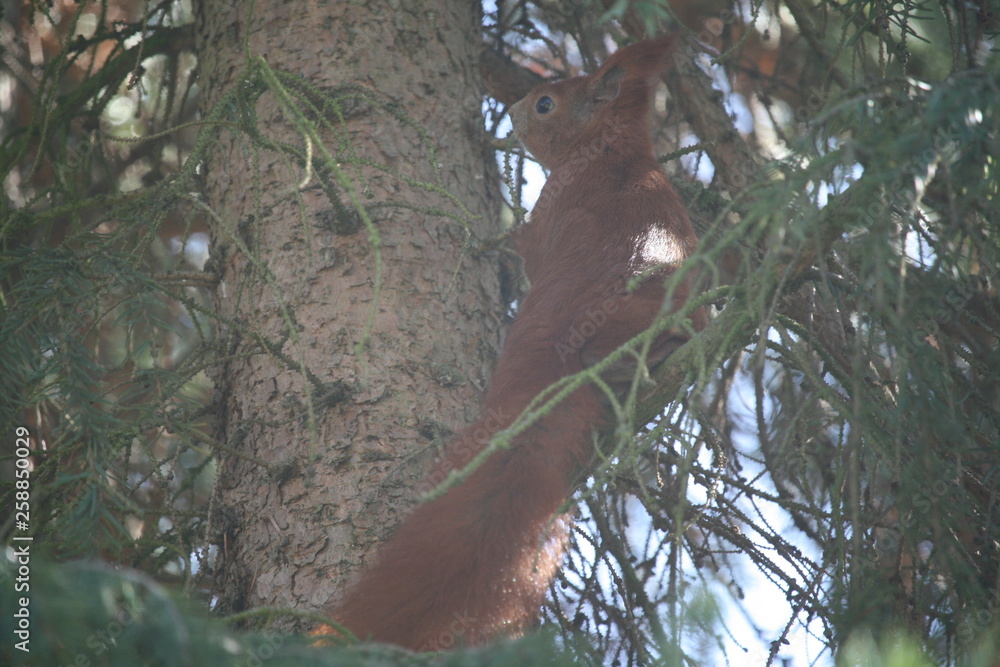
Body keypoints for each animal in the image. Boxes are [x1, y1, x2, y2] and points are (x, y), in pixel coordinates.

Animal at [326, 33, 707, 650]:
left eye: (547, 103)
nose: (511, 106)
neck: (613, 152)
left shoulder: (544, 216)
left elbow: (511, 242)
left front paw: (480, 236)